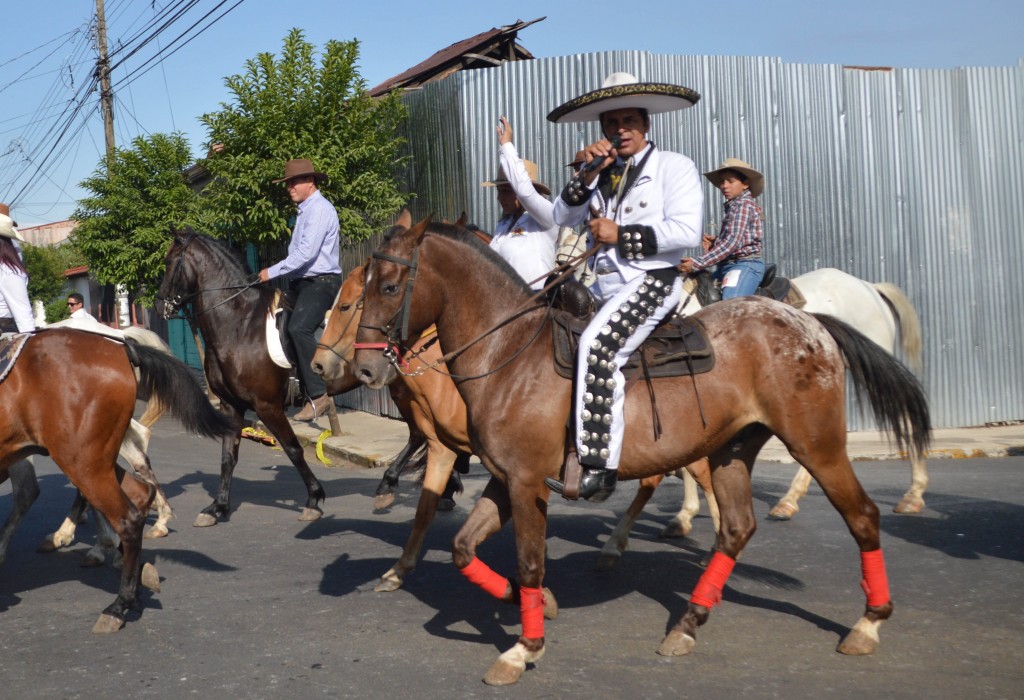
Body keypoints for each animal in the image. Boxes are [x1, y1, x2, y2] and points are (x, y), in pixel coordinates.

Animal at [0, 329, 234, 634]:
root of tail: (121, 346)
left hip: (81, 460)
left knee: (126, 515)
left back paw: (119, 603)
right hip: (94, 459)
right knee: (140, 491)